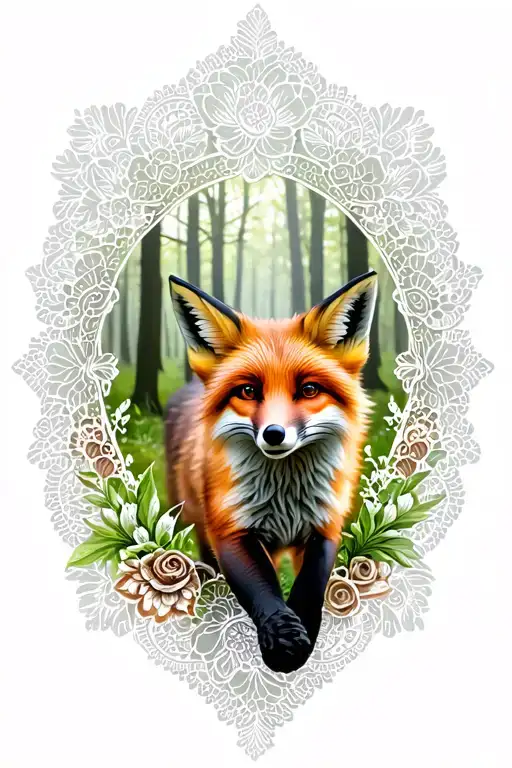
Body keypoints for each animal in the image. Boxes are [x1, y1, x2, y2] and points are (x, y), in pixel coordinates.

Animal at [165, 270, 377, 674]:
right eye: (248, 391)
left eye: (308, 390)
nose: (274, 434)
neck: (285, 498)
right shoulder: (229, 530)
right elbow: (262, 591)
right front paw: (282, 642)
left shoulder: (324, 526)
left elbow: (309, 589)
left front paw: (303, 636)